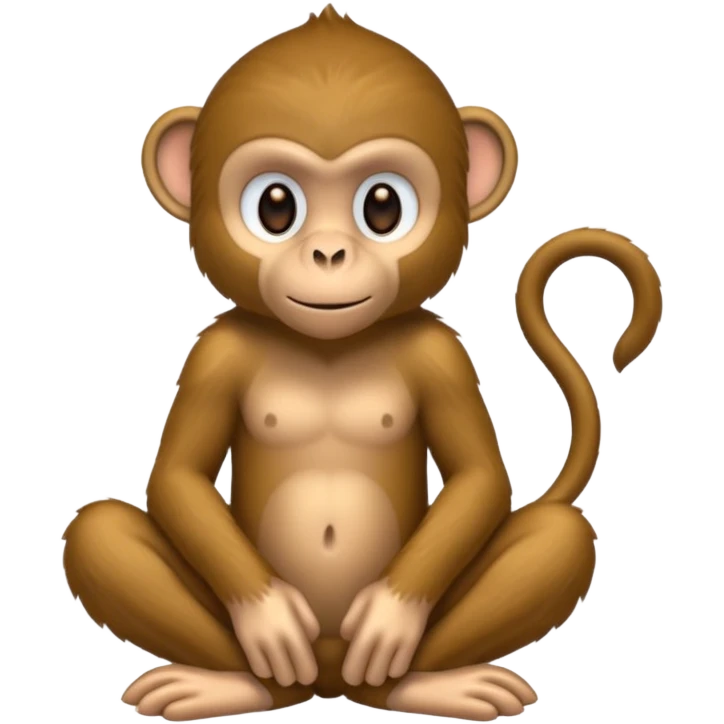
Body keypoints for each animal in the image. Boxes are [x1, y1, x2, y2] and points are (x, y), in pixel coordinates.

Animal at [61, 5, 664, 722]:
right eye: (275, 207)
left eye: (382, 206)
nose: (328, 254)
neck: (331, 346)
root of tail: (328, 681)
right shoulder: (216, 349)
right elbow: (179, 476)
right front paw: (268, 618)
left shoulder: (441, 351)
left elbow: (478, 477)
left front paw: (389, 619)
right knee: (98, 531)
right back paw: (231, 683)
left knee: (559, 535)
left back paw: (425, 683)